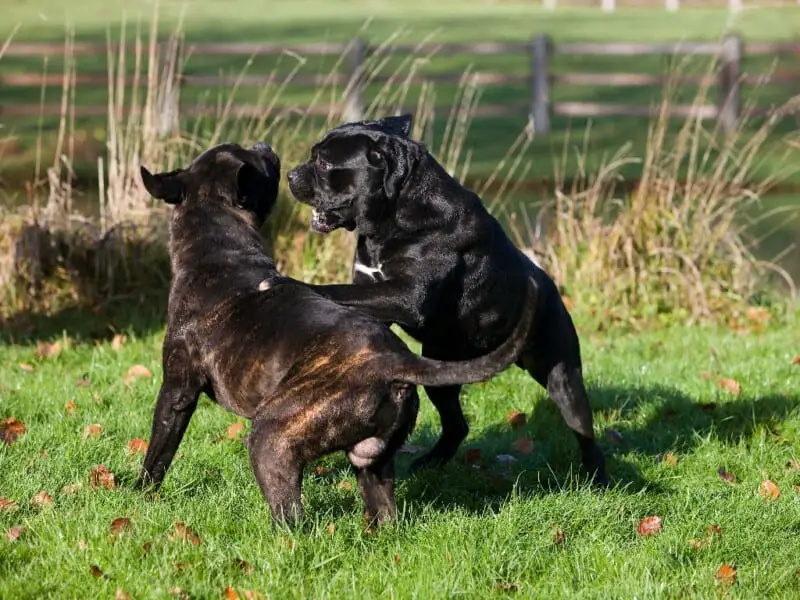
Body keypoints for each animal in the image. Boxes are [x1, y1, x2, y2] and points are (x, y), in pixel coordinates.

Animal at [136, 141, 536, 524]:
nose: (264, 145)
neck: (221, 253)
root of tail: (392, 361)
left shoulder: (177, 391)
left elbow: (158, 452)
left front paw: (139, 494)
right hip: (371, 464)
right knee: (384, 513)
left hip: (272, 439)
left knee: (292, 519)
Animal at [288, 115, 608, 486]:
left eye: (325, 163)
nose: (291, 175)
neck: (394, 214)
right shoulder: (377, 294)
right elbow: (353, 298)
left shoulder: (406, 296)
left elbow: (338, 290)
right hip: (440, 370)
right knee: (457, 425)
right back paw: (430, 462)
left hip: (562, 374)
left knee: (583, 429)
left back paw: (597, 477)